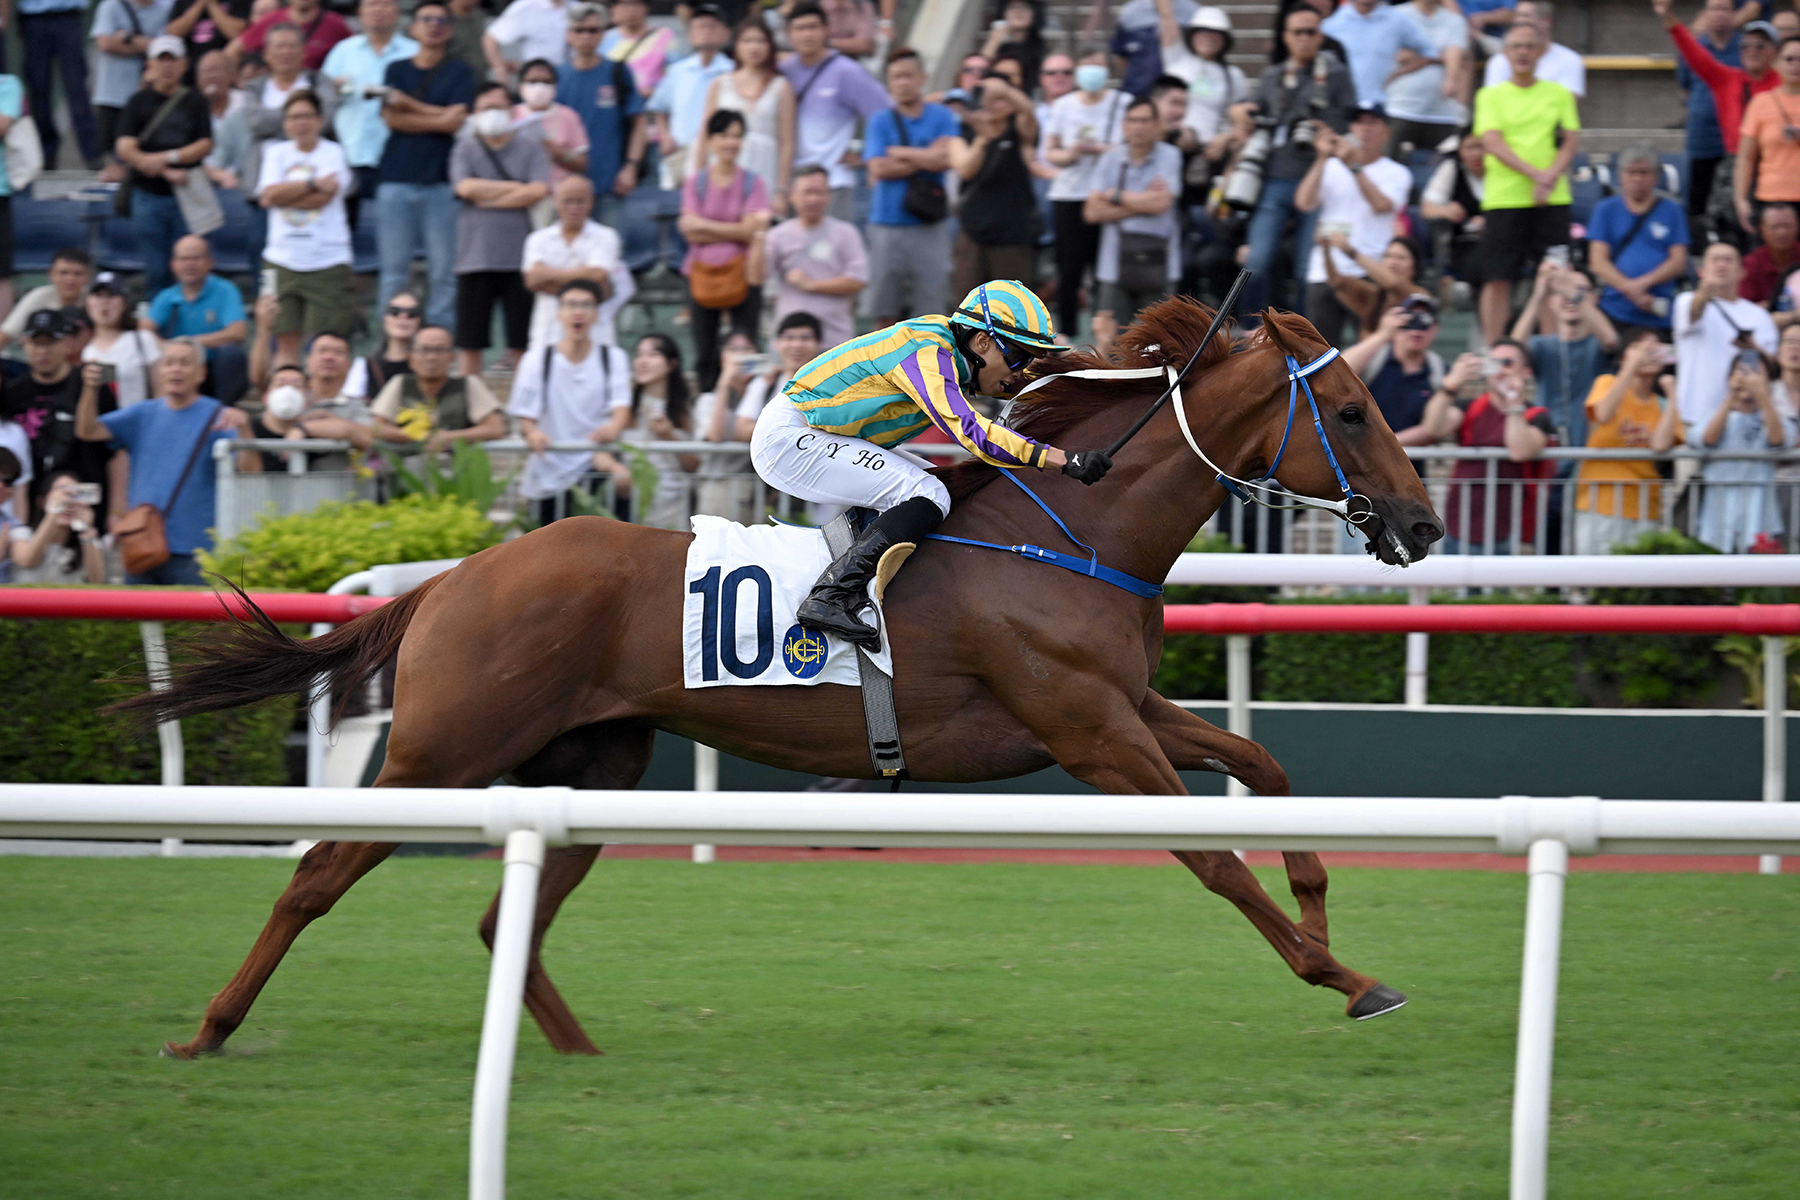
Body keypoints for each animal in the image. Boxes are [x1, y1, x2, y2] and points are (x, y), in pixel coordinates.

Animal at [123, 302, 1447, 1057]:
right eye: (1348, 409)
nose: (1426, 524)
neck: (1067, 528)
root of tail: (456, 577)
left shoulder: (1127, 707)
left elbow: (1264, 764)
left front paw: (1327, 919)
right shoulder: (1088, 731)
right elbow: (1216, 858)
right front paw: (1348, 976)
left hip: (591, 762)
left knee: (508, 911)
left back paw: (576, 1053)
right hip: (444, 752)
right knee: (318, 876)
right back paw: (209, 1030)